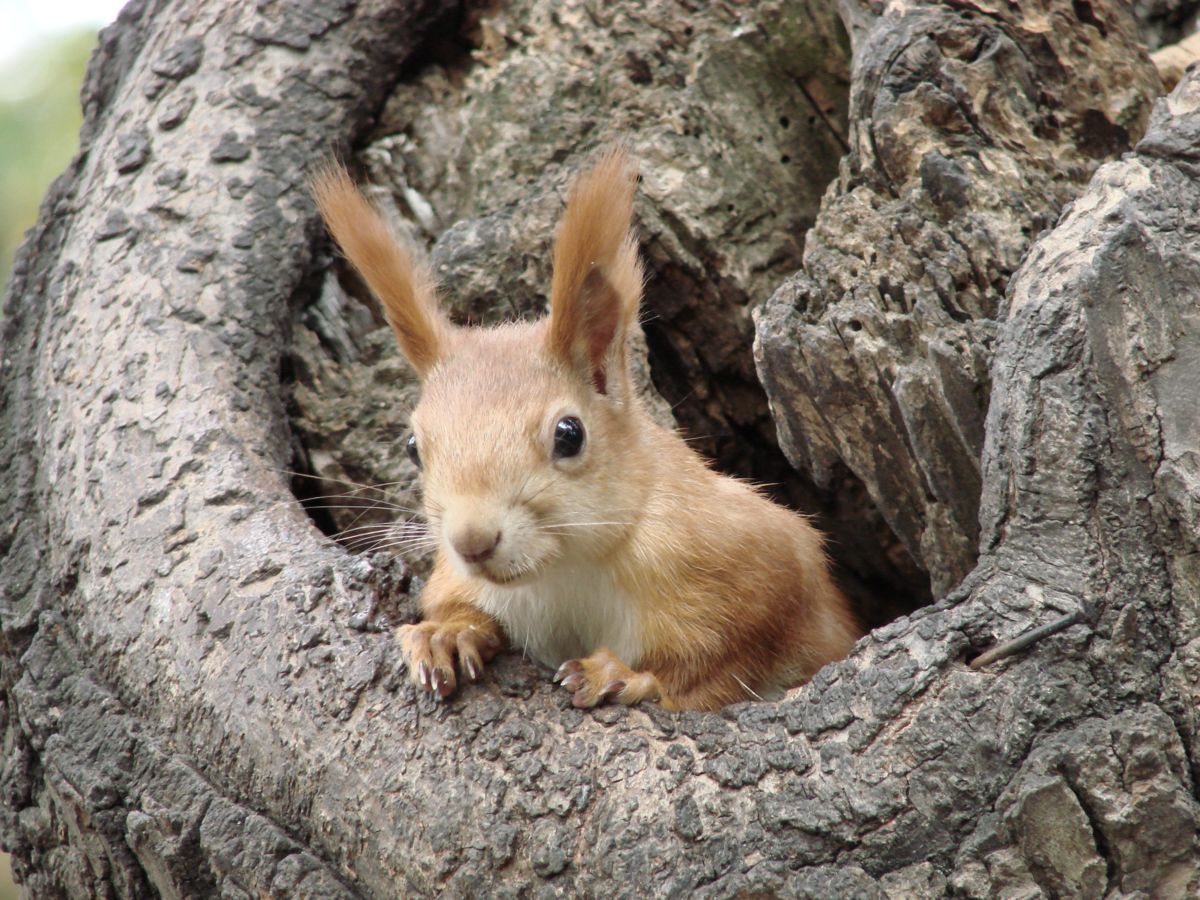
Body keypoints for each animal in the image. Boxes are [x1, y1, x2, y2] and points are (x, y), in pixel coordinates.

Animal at [314, 148, 859, 710]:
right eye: (412, 446)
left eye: (570, 434)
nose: (471, 542)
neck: (564, 567)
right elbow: (454, 602)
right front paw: (446, 634)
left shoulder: (757, 562)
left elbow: (721, 658)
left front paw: (625, 676)